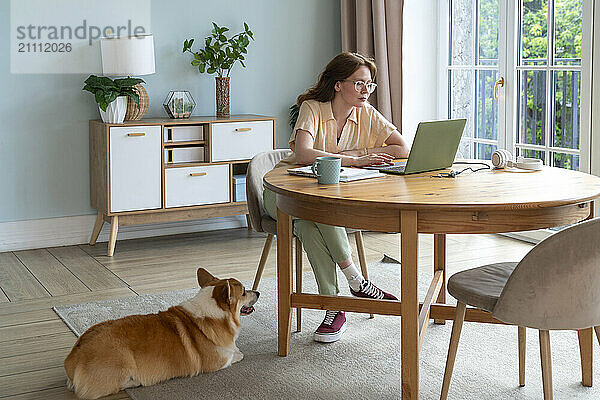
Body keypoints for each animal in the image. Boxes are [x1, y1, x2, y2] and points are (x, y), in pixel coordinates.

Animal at [64, 268, 258, 398]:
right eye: (243, 292)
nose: (258, 292)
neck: (215, 314)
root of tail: (72, 360)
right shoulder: (219, 361)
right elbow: (236, 355)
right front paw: (238, 352)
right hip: (122, 363)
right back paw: (135, 382)